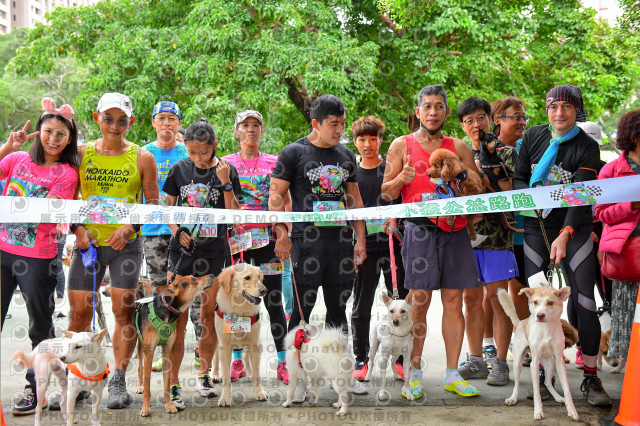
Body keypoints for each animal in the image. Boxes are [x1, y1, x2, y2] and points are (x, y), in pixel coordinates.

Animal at [135, 272, 215, 416]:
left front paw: (170, 405)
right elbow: (148, 386)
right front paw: (145, 408)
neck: (167, 311)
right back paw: (139, 387)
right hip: (139, 343)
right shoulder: (149, 352)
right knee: (139, 367)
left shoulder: (167, 351)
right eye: (193, 279)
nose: (212, 274)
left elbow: (167, 383)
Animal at [214, 262, 266, 406]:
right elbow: (226, 376)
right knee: (214, 357)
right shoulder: (224, 346)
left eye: (259, 277)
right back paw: (215, 375)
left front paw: (259, 392)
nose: (264, 290)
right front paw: (225, 398)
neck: (239, 308)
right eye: (247, 278)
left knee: (245, 356)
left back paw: (248, 372)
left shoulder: (255, 343)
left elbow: (257, 373)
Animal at [498, 284, 584, 422]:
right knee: (517, 384)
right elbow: (536, 391)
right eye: (535, 302)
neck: (546, 328)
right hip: (518, 363)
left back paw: (558, 397)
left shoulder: (559, 361)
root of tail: (521, 322)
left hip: (550, 364)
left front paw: (572, 410)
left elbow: (567, 389)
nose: (539, 315)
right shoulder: (534, 363)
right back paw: (513, 398)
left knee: (547, 382)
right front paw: (538, 410)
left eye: (550, 302)